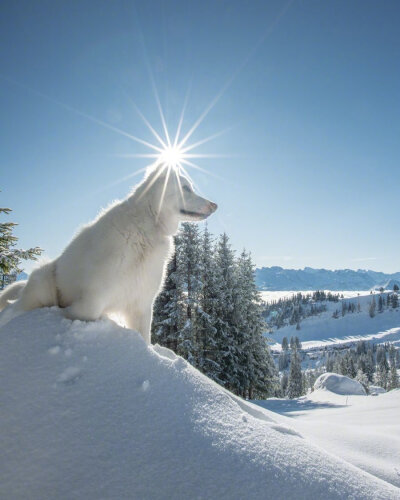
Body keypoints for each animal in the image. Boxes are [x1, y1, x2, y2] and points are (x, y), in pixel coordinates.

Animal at [0, 165, 217, 344]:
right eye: (186, 188)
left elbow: (145, 338)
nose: (215, 205)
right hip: (44, 281)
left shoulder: (142, 304)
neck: (146, 228)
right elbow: (85, 312)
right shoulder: (94, 296)